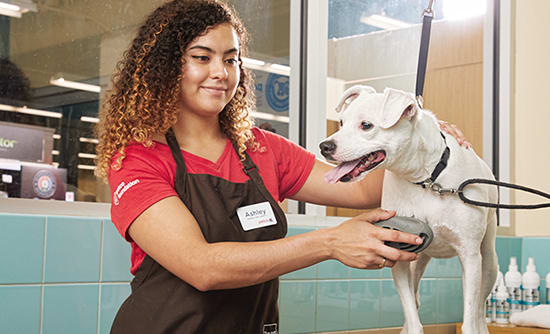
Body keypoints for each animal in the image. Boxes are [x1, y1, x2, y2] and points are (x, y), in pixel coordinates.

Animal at [320, 86, 500, 334]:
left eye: (366, 125)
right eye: (341, 122)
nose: (324, 146)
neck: (426, 179)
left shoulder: (470, 257)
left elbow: (470, 319)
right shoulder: (400, 256)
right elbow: (413, 319)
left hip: (488, 262)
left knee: (480, 309)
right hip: (417, 263)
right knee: (414, 301)